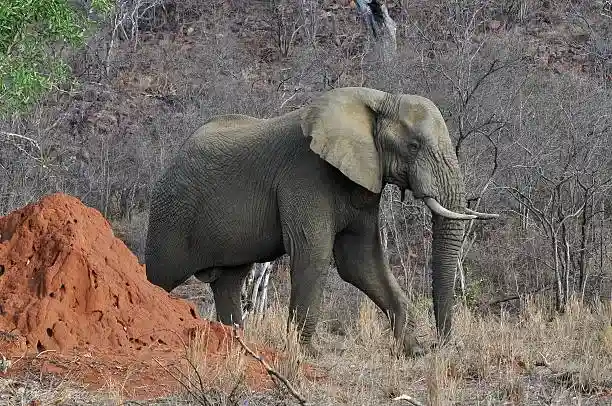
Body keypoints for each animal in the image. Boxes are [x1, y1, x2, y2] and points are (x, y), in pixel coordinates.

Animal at [143, 85, 498, 356]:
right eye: (413, 146)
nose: (440, 344)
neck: (379, 100)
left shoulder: (362, 184)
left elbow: (360, 262)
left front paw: (413, 350)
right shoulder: (305, 176)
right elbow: (313, 254)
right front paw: (306, 354)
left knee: (229, 282)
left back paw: (238, 345)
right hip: (169, 217)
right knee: (159, 279)